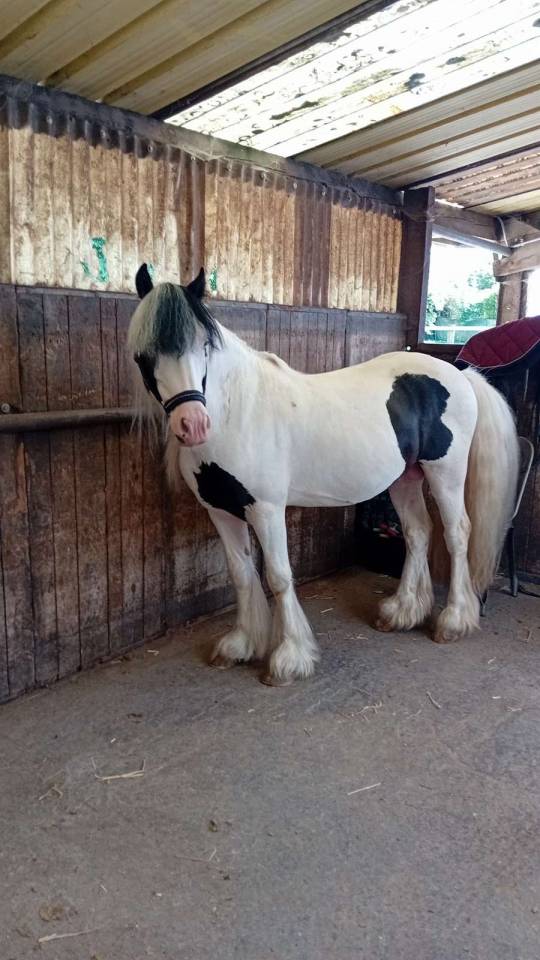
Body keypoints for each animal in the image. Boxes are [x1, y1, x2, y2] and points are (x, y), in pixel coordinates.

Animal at [128, 264, 519, 685]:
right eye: (143, 355)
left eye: (204, 346)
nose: (193, 425)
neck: (238, 413)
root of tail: (460, 374)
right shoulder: (220, 510)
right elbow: (241, 574)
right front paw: (241, 645)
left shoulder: (266, 509)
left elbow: (278, 576)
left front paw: (289, 658)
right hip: (405, 478)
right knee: (418, 533)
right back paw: (401, 612)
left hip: (445, 472)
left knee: (457, 533)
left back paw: (453, 621)